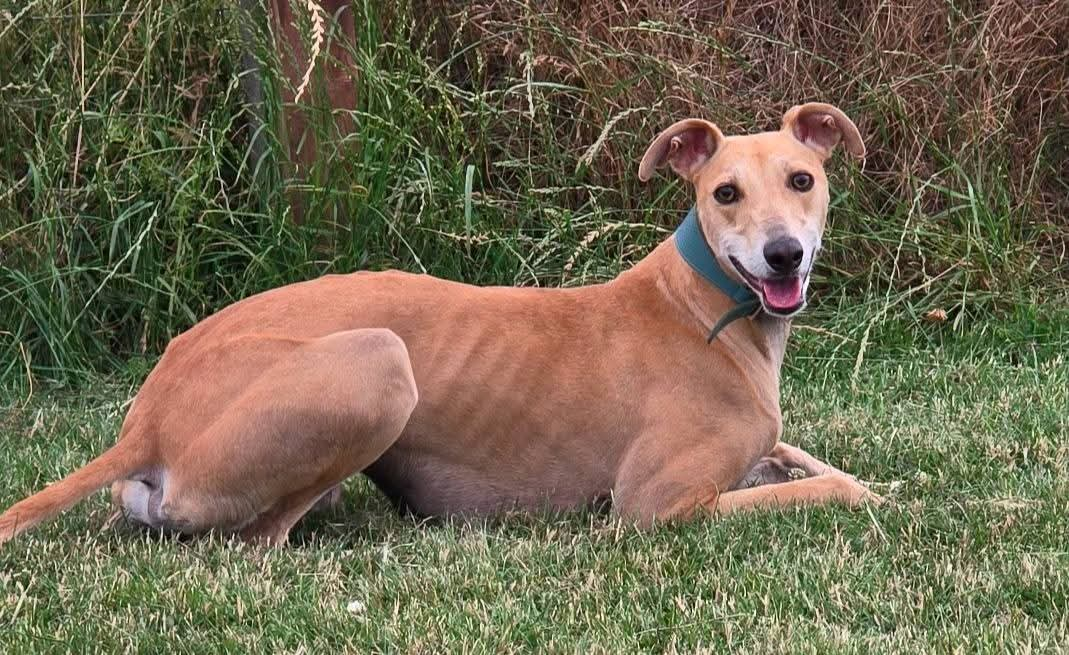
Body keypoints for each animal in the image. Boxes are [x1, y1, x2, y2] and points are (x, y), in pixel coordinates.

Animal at [0, 102, 880, 546]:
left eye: (801, 179)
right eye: (724, 192)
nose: (782, 255)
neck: (703, 304)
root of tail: (147, 417)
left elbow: (801, 457)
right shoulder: (656, 505)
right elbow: (831, 488)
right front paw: (863, 491)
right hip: (376, 360)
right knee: (258, 540)